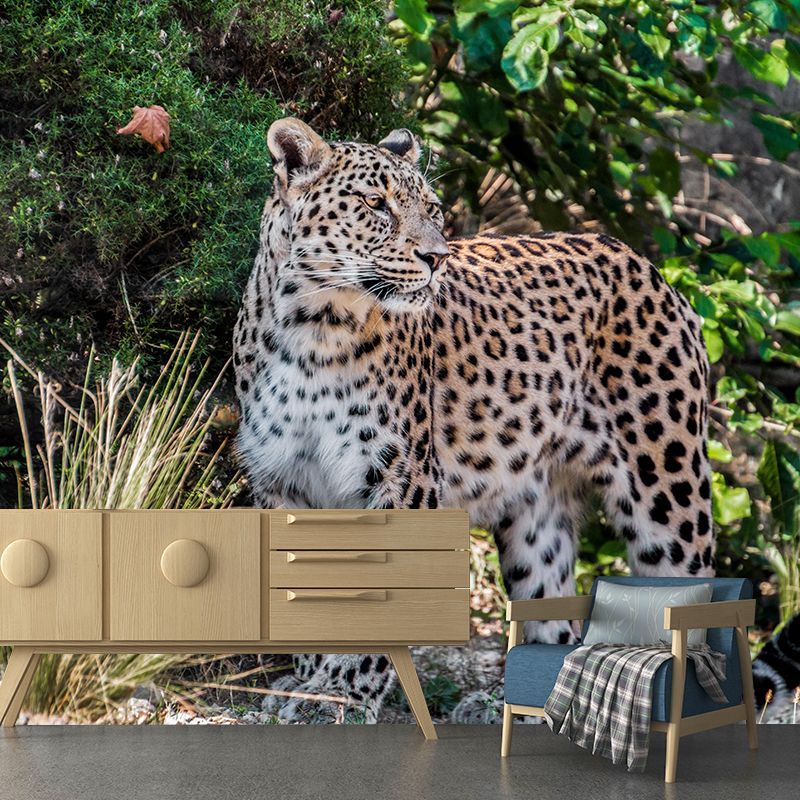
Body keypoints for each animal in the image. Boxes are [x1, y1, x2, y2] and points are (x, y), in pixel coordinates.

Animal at [233, 117, 715, 724]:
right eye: (375, 203)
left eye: (433, 208)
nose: (436, 257)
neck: (311, 327)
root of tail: (648, 267)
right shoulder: (283, 484)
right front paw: (307, 684)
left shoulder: (402, 482)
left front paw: (343, 693)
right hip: (536, 513)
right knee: (554, 620)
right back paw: (519, 706)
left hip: (667, 491)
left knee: (691, 595)